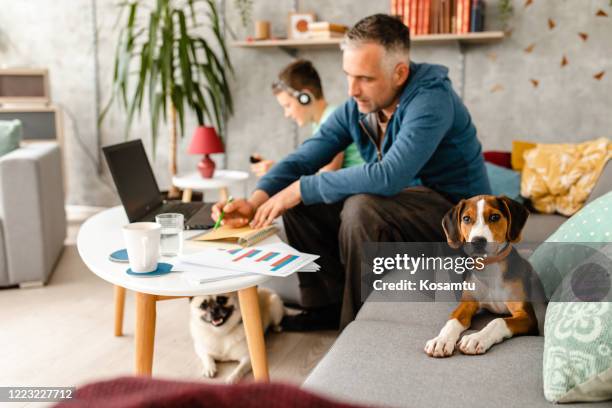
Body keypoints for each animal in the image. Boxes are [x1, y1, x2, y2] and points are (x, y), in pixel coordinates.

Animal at [426, 194, 544, 356]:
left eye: (495, 217)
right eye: (466, 218)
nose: (477, 241)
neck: (490, 267)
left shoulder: (527, 316)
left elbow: (498, 321)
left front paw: (476, 338)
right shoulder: (467, 302)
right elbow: (453, 319)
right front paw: (441, 340)